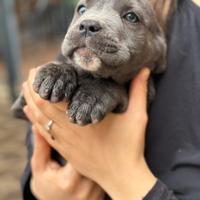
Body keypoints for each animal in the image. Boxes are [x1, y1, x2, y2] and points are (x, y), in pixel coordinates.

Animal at [12, 0, 166, 125]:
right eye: (81, 9)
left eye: (131, 16)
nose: (87, 24)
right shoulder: (21, 106)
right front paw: (56, 74)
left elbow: (114, 85)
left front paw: (90, 98)